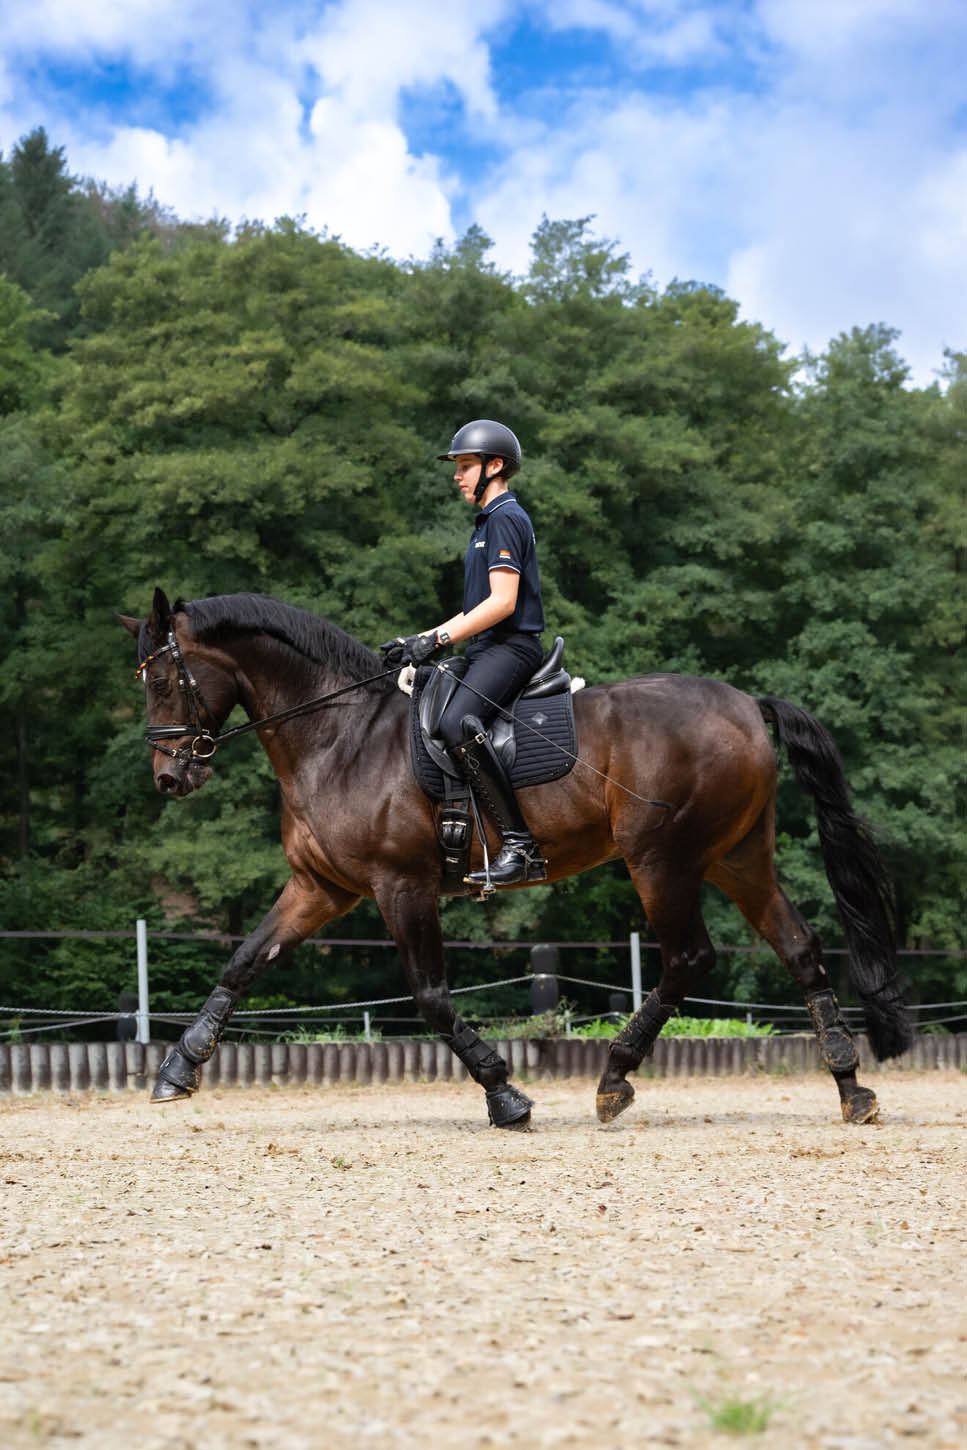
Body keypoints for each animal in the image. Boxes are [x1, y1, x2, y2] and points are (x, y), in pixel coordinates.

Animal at [119, 588, 911, 1128]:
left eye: (161, 680)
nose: (168, 778)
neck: (340, 737)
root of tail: (746, 704)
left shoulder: (400, 886)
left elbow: (431, 996)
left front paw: (504, 1093)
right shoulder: (321, 887)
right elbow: (244, 962)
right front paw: (177, 1067)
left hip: (661, 859)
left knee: (689, 957)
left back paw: (615, 1076)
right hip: (735, 857)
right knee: (799, 948)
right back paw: (850, 1087)